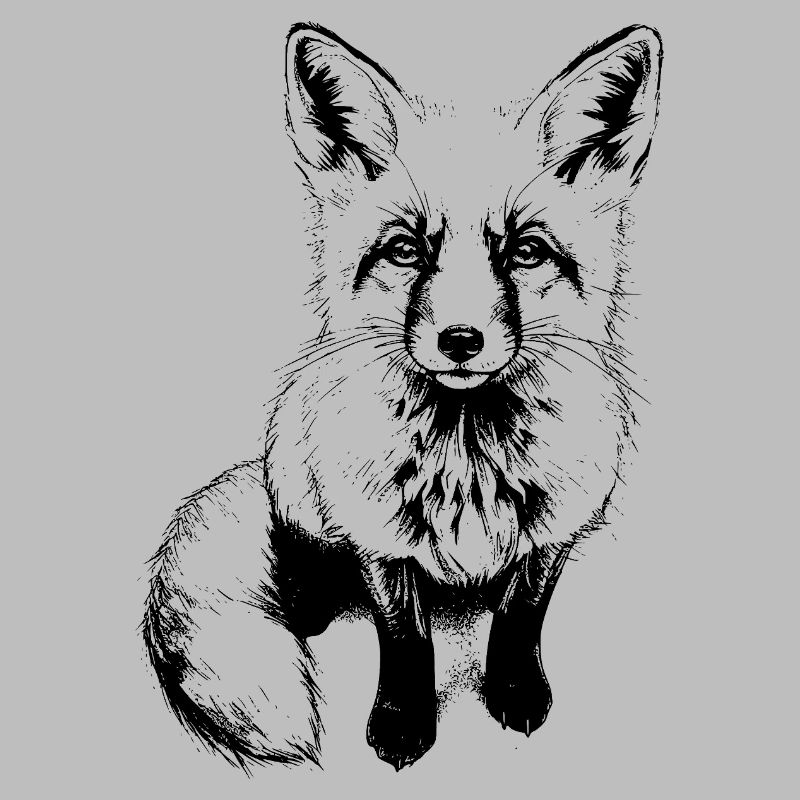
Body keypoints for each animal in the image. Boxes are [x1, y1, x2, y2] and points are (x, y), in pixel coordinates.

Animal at [143, 22, 662, 771]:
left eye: (526, 252)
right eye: (406, 250)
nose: (461, 340)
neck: (468, 462)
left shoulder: (554, 527)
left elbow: (519, 614)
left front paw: (514, 691)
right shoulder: (381, 537)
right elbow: (405, 638)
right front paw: (402, 723)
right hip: (297, 473)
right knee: (295, 540)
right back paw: (306, 597)